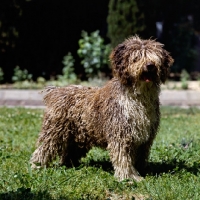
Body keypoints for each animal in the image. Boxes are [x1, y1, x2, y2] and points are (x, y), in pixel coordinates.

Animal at [30, 35, 173, 181]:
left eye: (155, 57)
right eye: (137, 57)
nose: (150, 65)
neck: (138, 98)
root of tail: (57, 91)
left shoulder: (144, 139)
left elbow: (139, 157)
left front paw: (141, 172)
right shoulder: (120, 134)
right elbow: (123, 158)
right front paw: (127, 177)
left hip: (78, 136)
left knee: (68, 153)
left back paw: (69, 165)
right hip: (55, 131)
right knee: (43, 149)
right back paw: (36, 166)